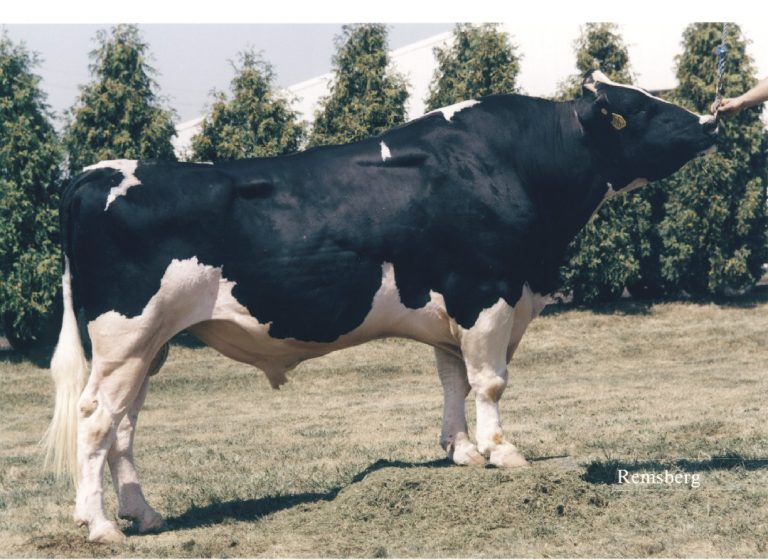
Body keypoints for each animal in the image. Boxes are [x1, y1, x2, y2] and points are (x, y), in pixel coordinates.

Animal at [43, 70, 718, 543]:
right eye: (636, 110)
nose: (711, 120)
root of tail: (97, 172)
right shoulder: (487, 294)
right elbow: (490, 381)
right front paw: (503, 453)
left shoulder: (454, 310)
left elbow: (452, 379)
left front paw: (461, 451)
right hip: (127, 336)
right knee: (97, 418)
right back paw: (99, 526)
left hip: (147, 347)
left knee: (126, 423)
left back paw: (144, 514)